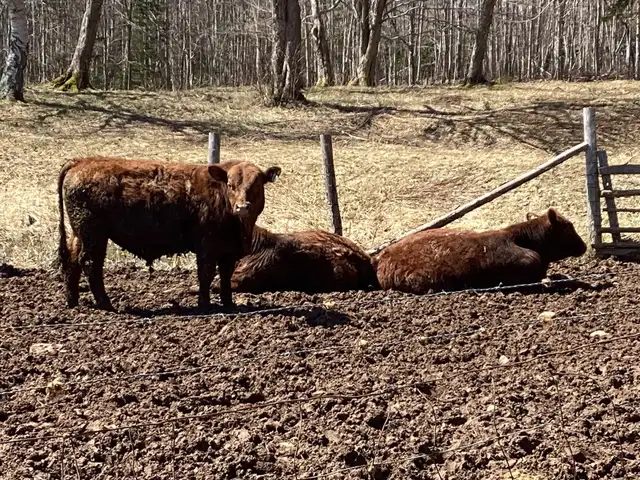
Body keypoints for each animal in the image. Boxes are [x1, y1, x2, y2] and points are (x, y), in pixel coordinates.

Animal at [57, 156, 280, 311]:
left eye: (256, 186)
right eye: (231, 185)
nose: (242, 207)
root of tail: (81, 161)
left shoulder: (228, 250)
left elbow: (225, 276)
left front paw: (228, 304)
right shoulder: (207, 245)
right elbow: (206, 274)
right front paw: (204, 305)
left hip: (80, 232)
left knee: (73, 261)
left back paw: (73, 301)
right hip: (93, 234)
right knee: (90, 263)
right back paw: (106, 304)